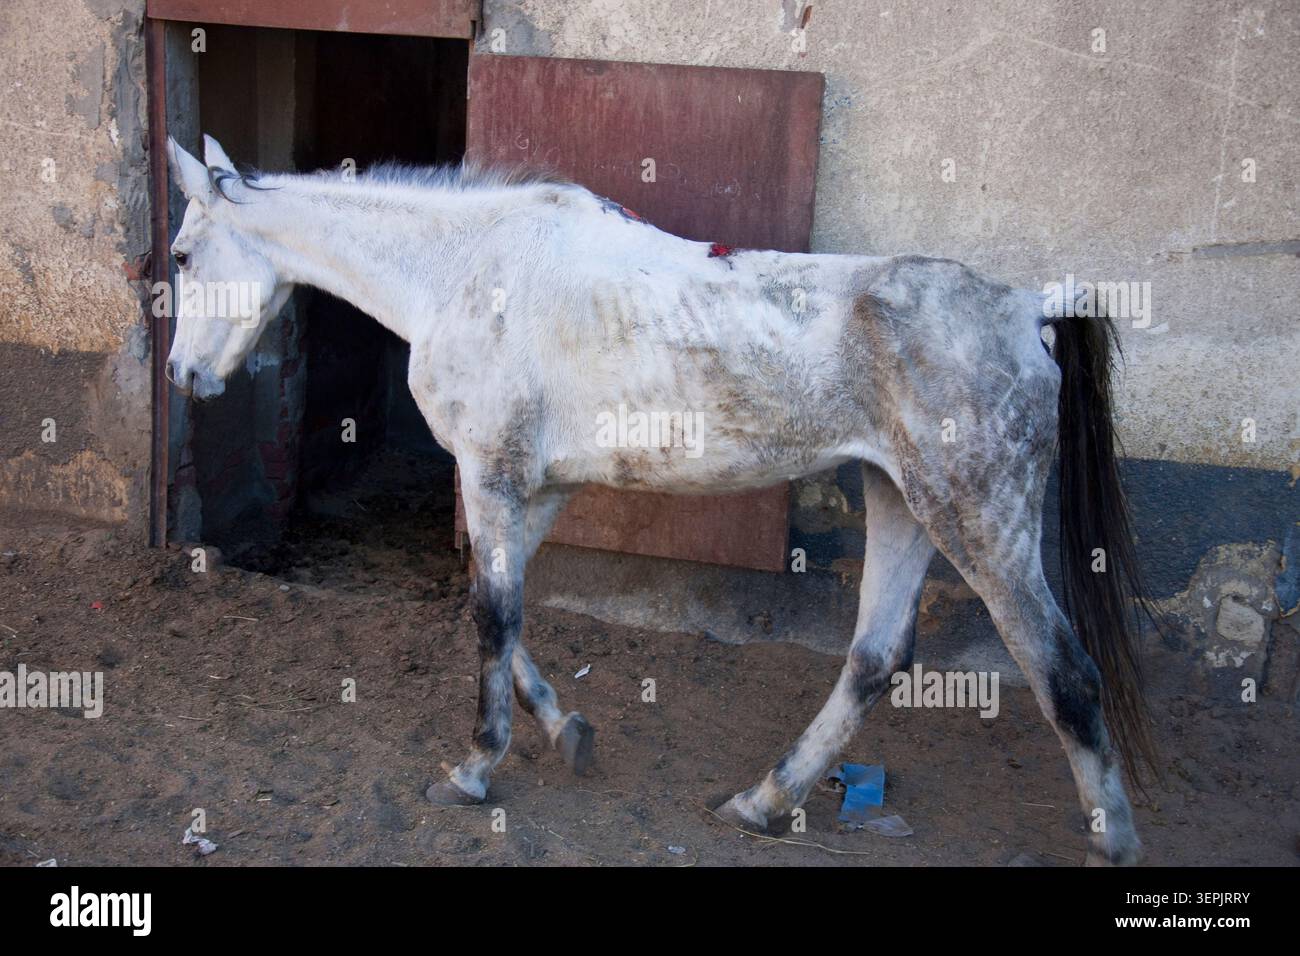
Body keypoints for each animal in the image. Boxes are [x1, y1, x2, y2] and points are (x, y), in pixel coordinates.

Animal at [164, 135, 1154, 865]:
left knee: (1063, 673)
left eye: (180, 253)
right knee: (875, 659)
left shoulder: (490, 474)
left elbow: (491, 615)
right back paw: (763, 801)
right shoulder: (538, 488)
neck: (466, 269)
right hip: (902, 501)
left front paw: (477, 768)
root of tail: (1029, 308)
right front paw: (566, 731)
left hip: (976, 524)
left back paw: (1113, 842)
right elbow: (504, 615)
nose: (180, 376)